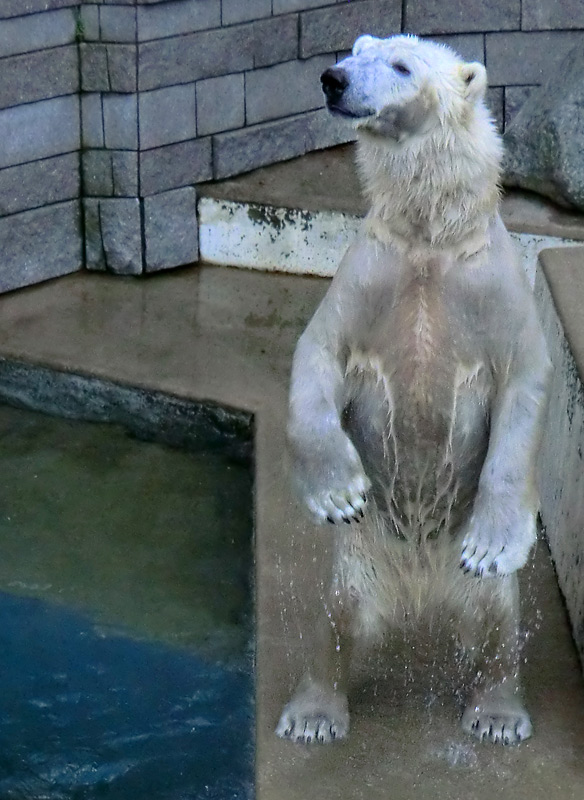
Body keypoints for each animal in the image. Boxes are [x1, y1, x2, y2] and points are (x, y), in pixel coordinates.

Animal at [278, 36, 552, 752]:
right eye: (355, 48)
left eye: (401, 65)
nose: (334, 78)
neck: (430, 232)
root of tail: (421, 595)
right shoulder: (370, 274)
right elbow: (317, 355)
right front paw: (338, 492)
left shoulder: (493, 287)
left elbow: (525, 381)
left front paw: (494, 542)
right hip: (362, 559)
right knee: (337, 621)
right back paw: (313, 713)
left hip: (473, 588)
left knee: (497, 624)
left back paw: (497, 713)